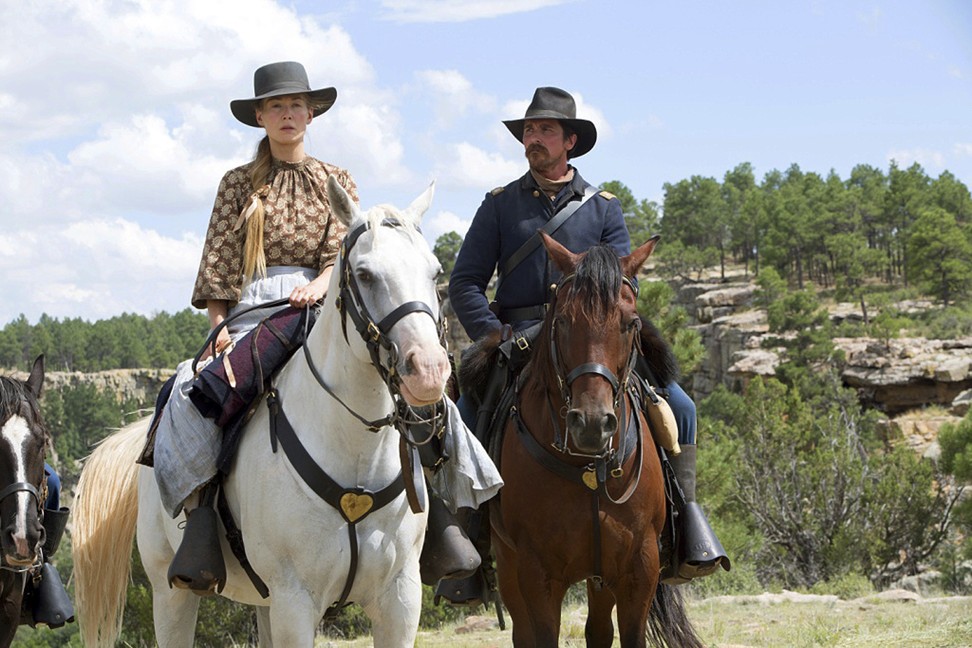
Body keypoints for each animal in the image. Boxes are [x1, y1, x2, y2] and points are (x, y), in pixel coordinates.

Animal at [72, 177, 452, 648]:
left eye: (435, 272)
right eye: (364, 274)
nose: (428, 371)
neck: (356, 456)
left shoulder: (399, 598)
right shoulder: (295, 601)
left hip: (264, 602)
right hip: (169, 591)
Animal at [486, 234, 708, 648]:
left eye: (631, 324)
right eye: (562, 321)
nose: (592, 424)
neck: (587, 468)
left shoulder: (639, 570)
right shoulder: (536, 575)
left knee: (599, 630)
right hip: (509, 565)